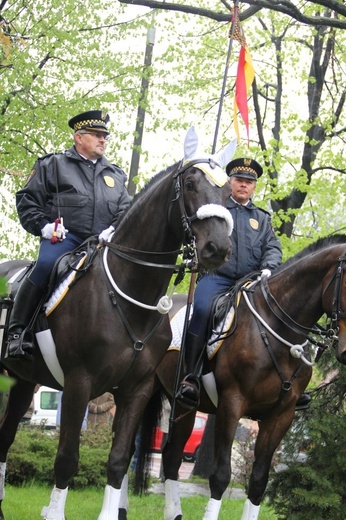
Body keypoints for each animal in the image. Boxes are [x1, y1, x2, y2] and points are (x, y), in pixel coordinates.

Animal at [0, 127, 237, 520]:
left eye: (229, 191)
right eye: (190, 184)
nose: (217, 249)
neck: (128, 294)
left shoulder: (135, 390)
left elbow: (117, 461)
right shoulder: (79, 383)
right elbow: (66, 460)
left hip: (22, 381)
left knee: (5, 437)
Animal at [134, 235, 346, 520]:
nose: (344, 351)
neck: (277, 332)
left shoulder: (281, 416)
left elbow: (258, 482)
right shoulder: (231, 404)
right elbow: (221, 476)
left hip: (184, 408)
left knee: (171, 456)